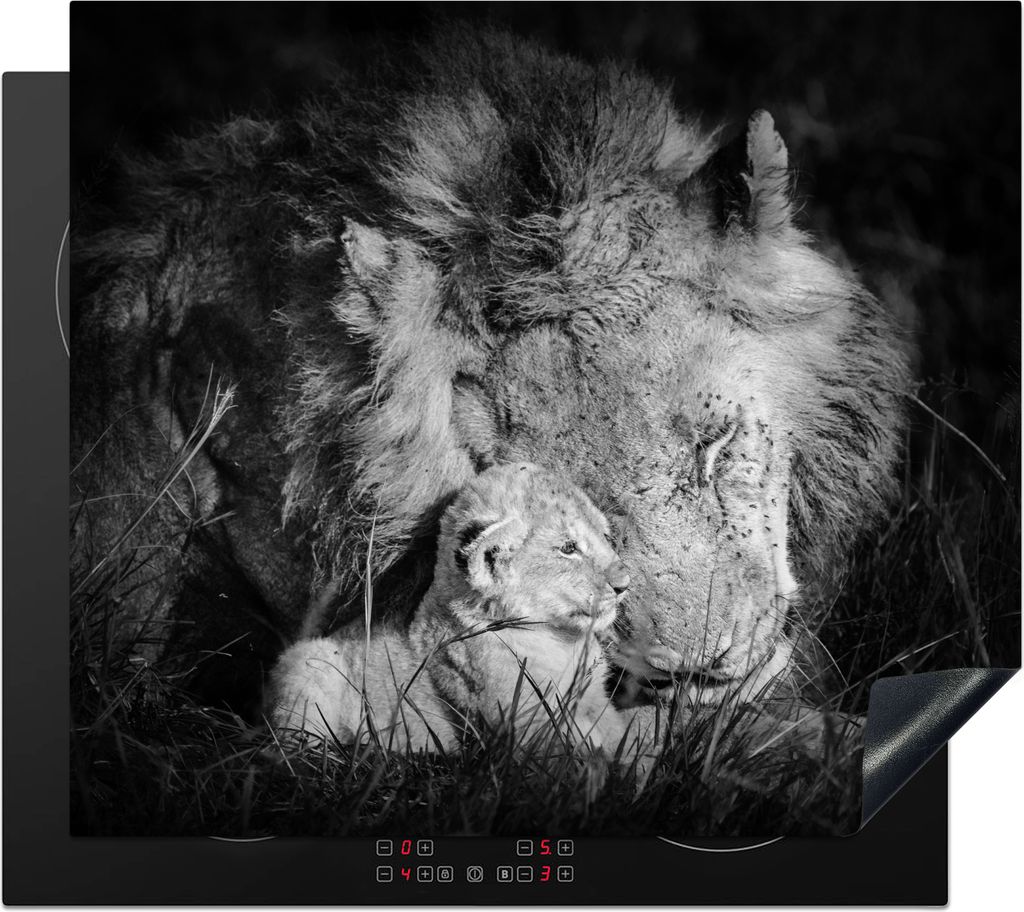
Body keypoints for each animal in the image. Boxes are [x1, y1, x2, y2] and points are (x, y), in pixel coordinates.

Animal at [268, 462, 653, 763]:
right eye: (568, 548)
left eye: (606, 536)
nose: (624, 584)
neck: (561, 641)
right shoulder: (527, 728)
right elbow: (591, 761)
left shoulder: (595, 702)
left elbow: (625, 734)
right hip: (309, 662)